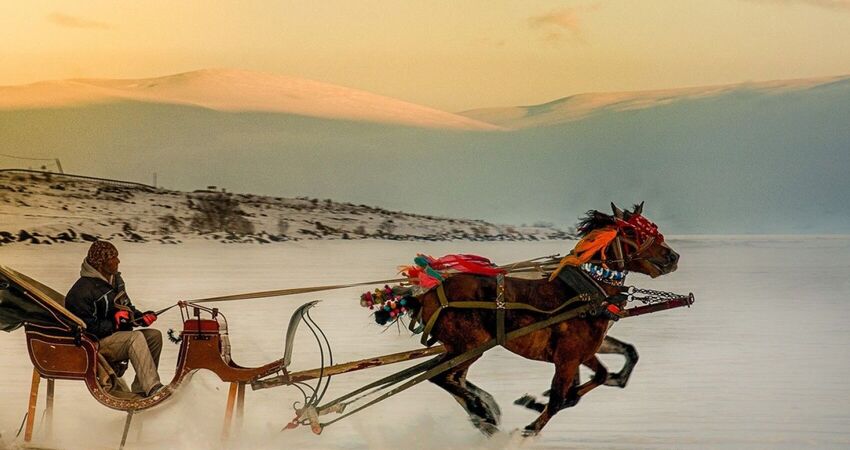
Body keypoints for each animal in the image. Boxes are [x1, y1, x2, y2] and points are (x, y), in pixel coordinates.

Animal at [416, 204, 676, 436]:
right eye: (632, 232)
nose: (673, 256)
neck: (587, 293)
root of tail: (425, 295)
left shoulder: (585, 351)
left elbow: (614, 364)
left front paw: (538, 401)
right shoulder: (568, 358)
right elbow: (559, 399)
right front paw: (529, 426)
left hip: (460, 348)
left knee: (448, 376)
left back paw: (485, 412)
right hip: (469, 346)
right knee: (441, 376)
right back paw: (482, 412)